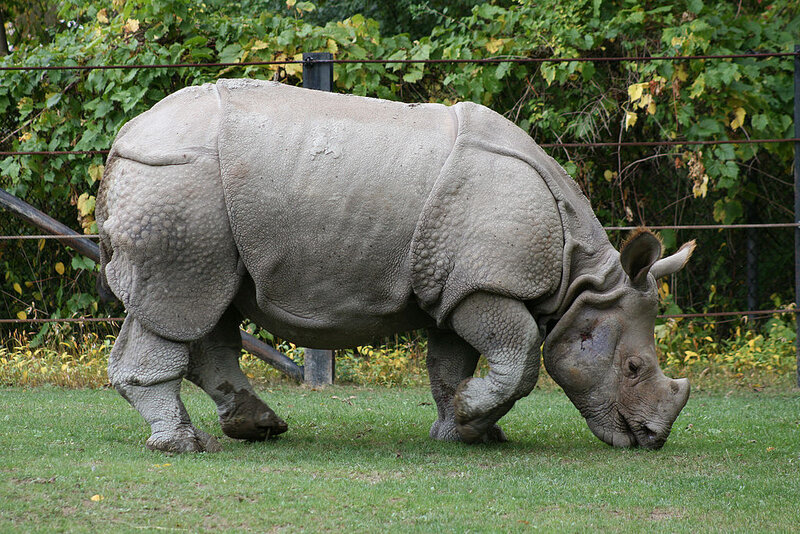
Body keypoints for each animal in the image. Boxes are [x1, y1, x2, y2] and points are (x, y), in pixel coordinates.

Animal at [96, 79, 693, 453]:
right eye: (633, 368)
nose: (651, 440)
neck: (580, 277)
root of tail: (125, 138)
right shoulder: (485, 284)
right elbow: (521, 355)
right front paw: (473, 418)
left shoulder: (456, 285)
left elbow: (450, 364)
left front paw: (464, 428)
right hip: (178, 186)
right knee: (180, 301)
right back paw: (184, 446)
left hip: (189, 200)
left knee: (205, 306)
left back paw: (257, 427)